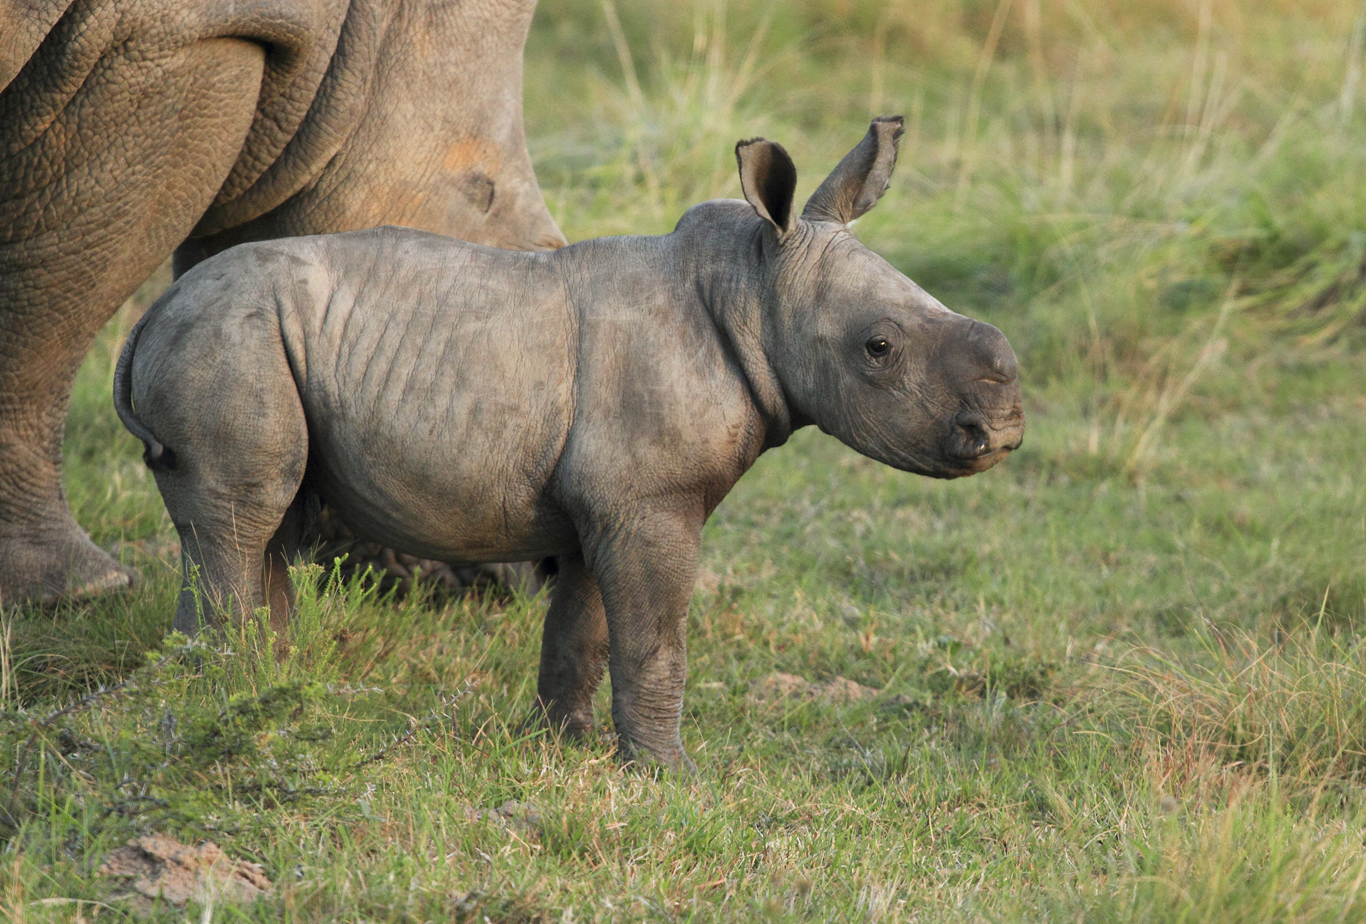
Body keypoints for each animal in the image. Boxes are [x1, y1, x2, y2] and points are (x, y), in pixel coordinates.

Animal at [0, 0, 562, 606]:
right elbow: (48, 317)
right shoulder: (178, 35)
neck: (369, 30)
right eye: (485, 197)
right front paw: (73, 591)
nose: (522, 579)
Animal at [117, 123, 1027, 770]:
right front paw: (671, 775)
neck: (752, 287)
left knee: (260, 526)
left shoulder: (612, 501)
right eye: (879, 349)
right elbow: (655, 639)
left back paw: (258, 694)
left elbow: (585, 628)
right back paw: (233, 704)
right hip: (229, 341)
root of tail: (150, 319)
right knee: (242, 519)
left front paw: (568, 744)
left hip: (243, 340)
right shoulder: (651, 500)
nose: (1007, 426)